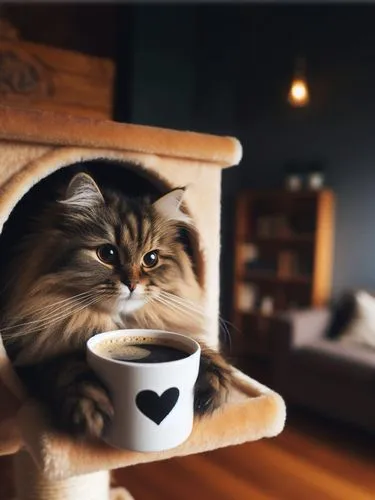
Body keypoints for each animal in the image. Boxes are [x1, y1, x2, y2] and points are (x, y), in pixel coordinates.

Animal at [0, 174, 232, 440]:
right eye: (107, 253)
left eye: (151, 259)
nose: (132, 284)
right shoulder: (35, 360)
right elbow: (70, 368)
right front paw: (91, 407)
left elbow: (200, 350)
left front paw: (215, 383)